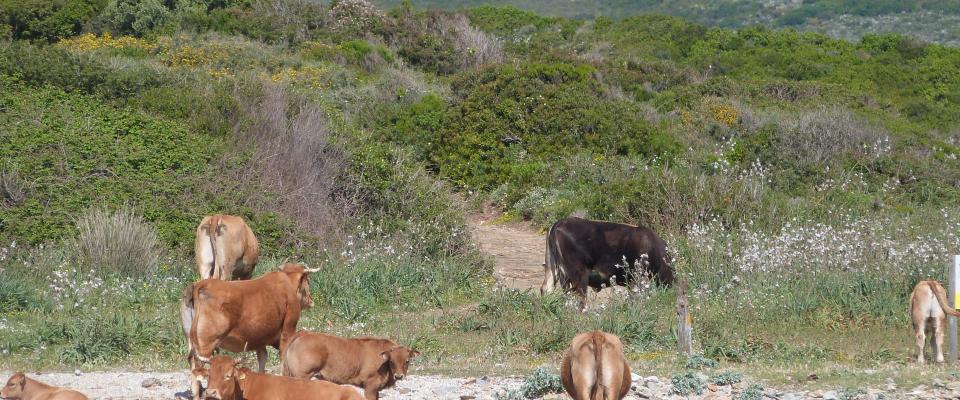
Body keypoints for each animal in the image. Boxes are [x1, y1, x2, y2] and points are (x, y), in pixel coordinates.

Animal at [178, 264, 316, 398]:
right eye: (307, 281)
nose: (311, 300)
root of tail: (200, 284)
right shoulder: (288, 330)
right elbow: (283, 360)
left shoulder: (259, 338)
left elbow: (262, 359)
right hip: (206, 345)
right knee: (199, 367)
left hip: (191, 341)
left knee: (192, 364)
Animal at [280, 332, 418, 400]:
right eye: (391, 361)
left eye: (407, 361)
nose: (399, 376)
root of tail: (302, 334)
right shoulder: (370, 385)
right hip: (301, 376)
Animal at [540, 217, 676, 308]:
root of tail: (559, 223)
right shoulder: (637, 280)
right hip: (579, 275)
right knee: (579, 299)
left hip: (555, 271)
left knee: (547, 289)